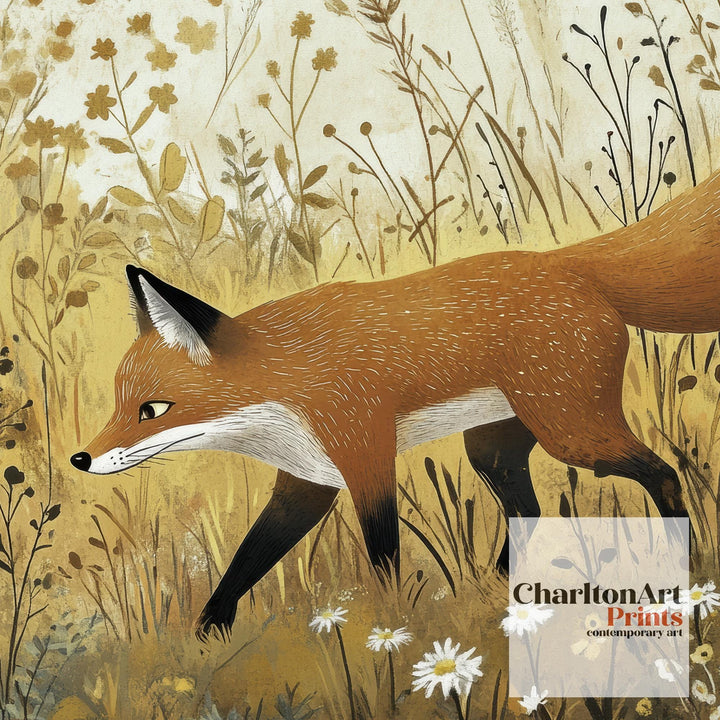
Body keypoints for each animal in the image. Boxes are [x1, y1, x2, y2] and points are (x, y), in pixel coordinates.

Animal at [70, 168, 720, 640]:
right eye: (117, 405)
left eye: (151, 410)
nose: (80, 460)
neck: (284, 382)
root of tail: (566, 261)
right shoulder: (306, 482)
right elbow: (245, 562)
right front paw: (207, 635)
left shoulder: (366, 460)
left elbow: (383, 559)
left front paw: (390, 627)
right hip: (494, 448)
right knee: (530, 512)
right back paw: (495, 593)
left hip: (574, 435)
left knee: (664, 474)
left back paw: (678, 570)